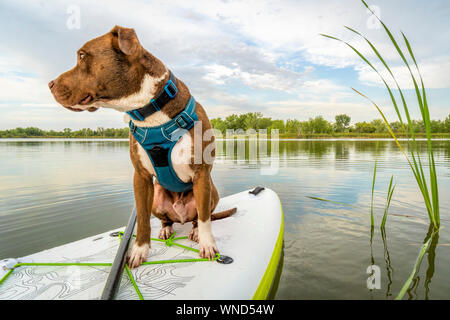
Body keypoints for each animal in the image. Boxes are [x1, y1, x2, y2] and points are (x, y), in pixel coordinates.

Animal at [48, 26, 236, 268]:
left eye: (81, 55)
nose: (50, 84)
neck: (148, 110)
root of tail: (180, 216)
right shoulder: (141, 178)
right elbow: (143, 218)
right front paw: (139, 250)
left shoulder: (201, 174)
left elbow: (204, 219)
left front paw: (207, 244)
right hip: (157, 197)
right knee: (166, 220)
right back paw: (166, 230)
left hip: (212, 191)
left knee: (199, 218)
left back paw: (194, 232)